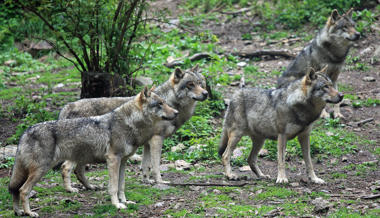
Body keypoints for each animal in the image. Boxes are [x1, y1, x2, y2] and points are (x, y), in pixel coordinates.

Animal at [8, 87, 178, 216]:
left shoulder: (123, 161)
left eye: (165, 103)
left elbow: (121, 185)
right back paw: (30, 213)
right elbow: (113, 187)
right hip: (41, 170)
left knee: (15, 190)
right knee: (23, 190)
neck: (129, 124)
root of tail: (25, 132)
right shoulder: (113, 160)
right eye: (160, 103)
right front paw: (117, 205)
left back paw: (19, 212)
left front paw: (125, 202)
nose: (176, 112)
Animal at [58, 65, 209, 192]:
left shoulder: (147, 143)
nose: (206, 93)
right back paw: (70, 189)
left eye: (200, 83)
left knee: (78, 170)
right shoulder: (156, 139)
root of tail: (67, 106)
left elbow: (146, 166)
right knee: (66, 167)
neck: (172, 104)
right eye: (190, 84)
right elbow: (156, 166)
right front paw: (160, 181)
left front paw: (147, 181)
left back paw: (90, 187)